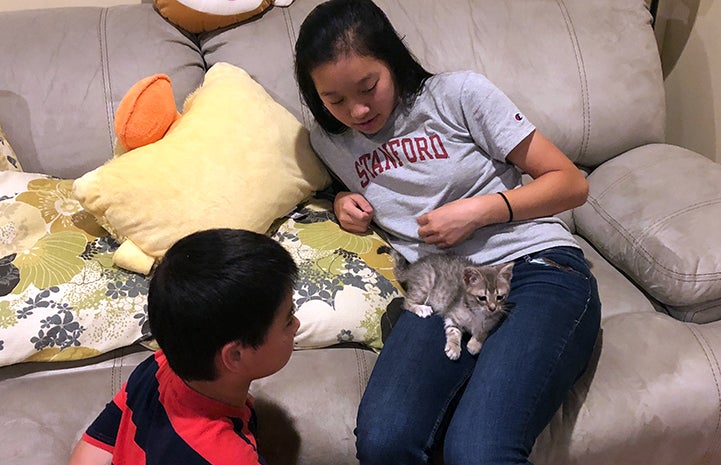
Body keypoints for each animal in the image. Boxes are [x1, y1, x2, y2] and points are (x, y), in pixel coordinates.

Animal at [376, 246, 512, 358]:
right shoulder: (452, 314)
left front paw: (475, 344)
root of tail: (413, 267)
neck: (477, 313)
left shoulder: (491, 323)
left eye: (500, 297)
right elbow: (453, 330)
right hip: (426, 281)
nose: (493, 308)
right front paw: (454, 348)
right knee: (406, 302)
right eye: (482, 298)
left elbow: (483, 332)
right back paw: (422, 309)